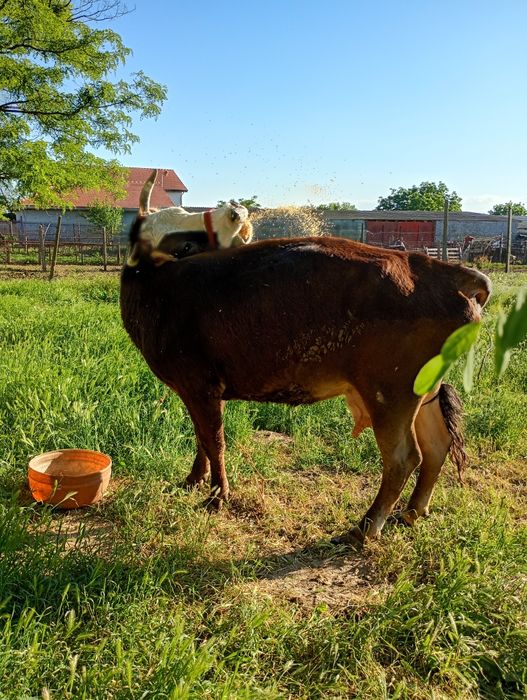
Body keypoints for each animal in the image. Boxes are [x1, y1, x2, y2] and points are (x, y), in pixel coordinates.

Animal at [120, 174, 491, 545]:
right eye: (181, 243)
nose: (236, 212)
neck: (159, 292)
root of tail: (437, 268)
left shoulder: (201, 386)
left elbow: (214, 440)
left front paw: (217, 496)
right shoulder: (197, 391)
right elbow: (201, 437)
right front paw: (194, 480)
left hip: (389, 393)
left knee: (403, 458)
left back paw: (365, 527)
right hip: (421, 391)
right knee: (437, 445)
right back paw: (413, 511)